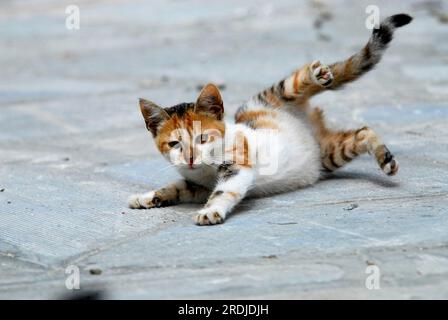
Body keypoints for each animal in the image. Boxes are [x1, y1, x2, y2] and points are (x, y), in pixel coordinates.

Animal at [128, 14, 412, 225]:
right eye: (174, 144)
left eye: (203, 137)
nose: (189, 158)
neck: (205, 171)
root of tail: (305, 115)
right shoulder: (196, 185)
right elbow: (176, 186)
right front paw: (149, 196)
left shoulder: (237, 166)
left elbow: (223, 190)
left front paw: (210, 211)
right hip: (329, 153)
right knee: (362, 132)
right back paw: (384, 158)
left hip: (275, 95)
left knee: (296, 81)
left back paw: (317, 72)